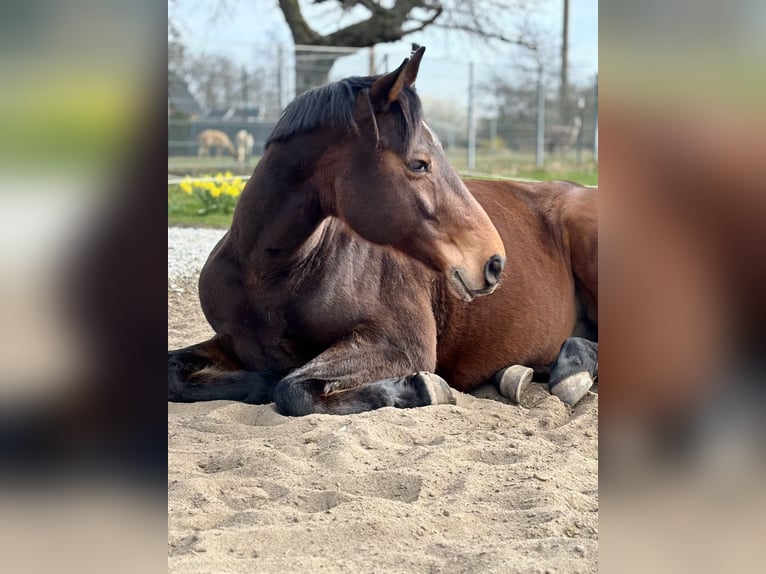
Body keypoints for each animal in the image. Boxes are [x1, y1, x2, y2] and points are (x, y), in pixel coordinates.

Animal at [168, 47, 598, 416]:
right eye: (420, 163)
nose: (493, 261)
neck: (268, 277)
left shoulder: (399, 343)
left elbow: (293, 388)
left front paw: (422, 387)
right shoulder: (229, 343)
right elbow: (177, 373)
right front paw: (259, 380)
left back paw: (570, 374)